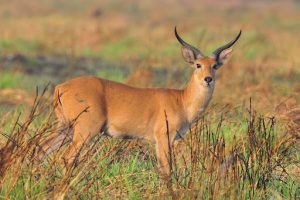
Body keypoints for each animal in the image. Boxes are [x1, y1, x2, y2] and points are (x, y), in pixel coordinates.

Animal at [38, 27, 243, 175]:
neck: (182, 100)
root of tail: (61, 86)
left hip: (65, 128)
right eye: (198, 65)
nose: (208, 79)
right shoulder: (163, 137)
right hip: (85, 130)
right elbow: (167, 170)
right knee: (66, 157)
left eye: (215, 65)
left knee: (43, 148)